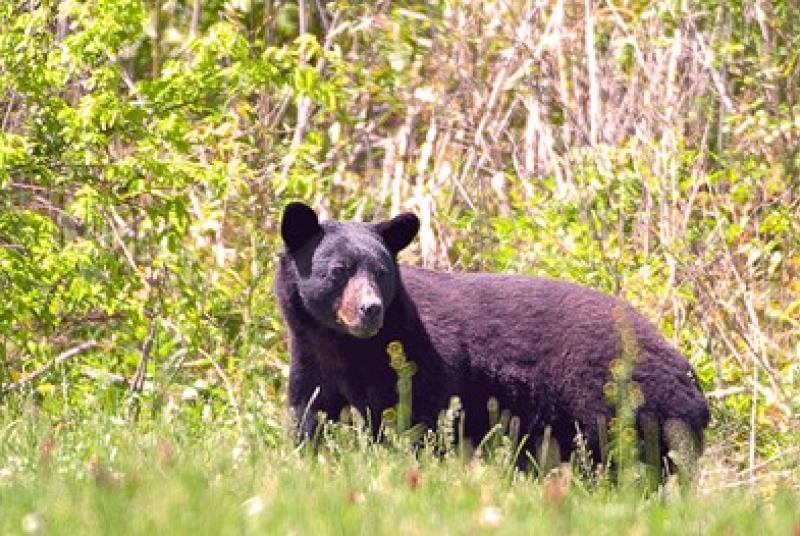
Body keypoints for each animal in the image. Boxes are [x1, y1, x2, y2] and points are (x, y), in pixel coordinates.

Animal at [275, 202, 709, 470]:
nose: (371, 309)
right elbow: (307, 414)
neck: (346, 347)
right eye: (339, 270)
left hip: (623, 402)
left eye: (381, 272)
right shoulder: (311, 359)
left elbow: (414, 420)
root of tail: (690, 376)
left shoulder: (418, 363)